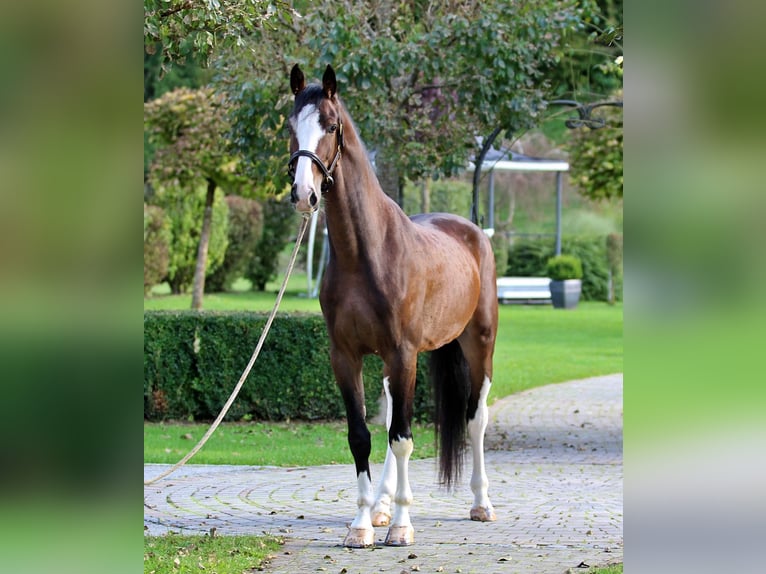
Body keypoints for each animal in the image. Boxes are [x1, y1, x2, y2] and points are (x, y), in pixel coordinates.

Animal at [287, 64, 498, 547]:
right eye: (290, 127)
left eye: (331, 125)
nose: (304, 194)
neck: (365, 254)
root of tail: (472, 232)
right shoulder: (346, 356)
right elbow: (363, 436)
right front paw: (363, 524)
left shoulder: (403, 354)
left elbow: (403, 438)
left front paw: (402, 526)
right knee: (388, 427)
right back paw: (381, 507)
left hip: (478, 345)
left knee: (475, 419)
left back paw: (480, 503)